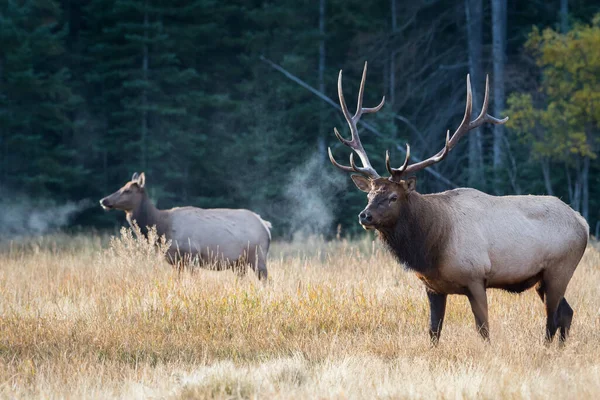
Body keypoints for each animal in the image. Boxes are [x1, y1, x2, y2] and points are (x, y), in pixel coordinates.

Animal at [99, 173, 270, 282]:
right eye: (122, 186)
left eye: (127, 190)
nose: (104, 200)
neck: (162, 227)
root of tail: (265, 225)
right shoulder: (176, 261)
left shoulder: (191, 255)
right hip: (239, 262)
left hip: (257, 255)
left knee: (265, 279)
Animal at [328, 62, 584, 344]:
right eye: (369, 195)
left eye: (393, 197)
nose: (365, 216)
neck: (432, 245)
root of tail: (582, 222)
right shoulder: (432, 287)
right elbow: (433, 331)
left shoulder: (476, 277)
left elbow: (483, 330)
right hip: (542, 278)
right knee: (566, 312)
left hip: (560, 268)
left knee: (552, 319)